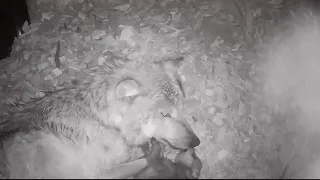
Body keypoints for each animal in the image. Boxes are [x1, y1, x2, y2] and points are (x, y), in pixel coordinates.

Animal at [0, 54, 200, 178]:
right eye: (165, 114)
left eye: (181, 108)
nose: (196, 142)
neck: (101, 119)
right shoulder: (96, 173)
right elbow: (145, 160)